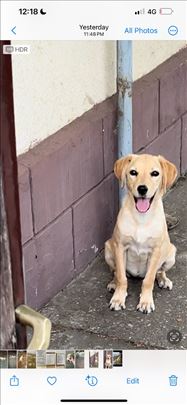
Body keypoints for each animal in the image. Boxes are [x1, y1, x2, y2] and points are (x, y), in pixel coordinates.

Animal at [105, 153, 177, 314]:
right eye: (133, 172)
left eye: (155, 173)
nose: (142, 189)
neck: (141, 218)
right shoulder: (120, 247)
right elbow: (122, 278)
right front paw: (118, 298)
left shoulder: (156, 251)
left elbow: (148, 280)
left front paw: (146, 302)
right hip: (108, 250)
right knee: (116, 272)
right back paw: (113, 283)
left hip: (171, 254)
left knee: (158, 272)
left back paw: (163, 280)